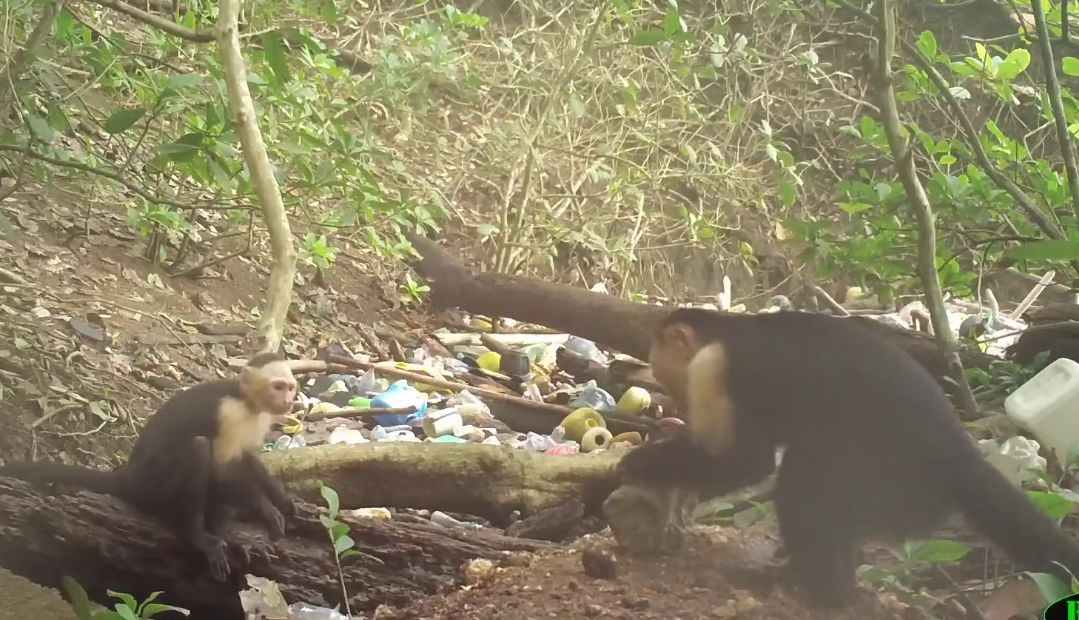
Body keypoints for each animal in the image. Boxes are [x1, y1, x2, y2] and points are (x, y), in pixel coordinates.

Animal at [0, 353, 297, 582]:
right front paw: (264, 508)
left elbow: (246, 458)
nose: (289, 400)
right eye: (278, 386)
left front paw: (279, 496)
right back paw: (197, 534)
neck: (245, 401)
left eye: (290, 387)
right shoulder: (229, 414)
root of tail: (128, 477)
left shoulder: (258, 418)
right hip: (152, 484)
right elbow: (224, 468)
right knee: (200, 449)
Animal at [617, 308, 1079, 608]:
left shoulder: (712, 368)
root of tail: (961, 458)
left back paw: (826, 594)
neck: (727, 331)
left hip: (896, 483)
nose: (676, 403)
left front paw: (635, 465)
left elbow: (747, 462)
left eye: (669, 379)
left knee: (806, 470)